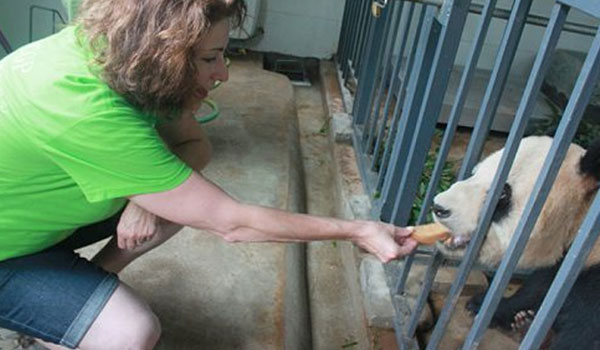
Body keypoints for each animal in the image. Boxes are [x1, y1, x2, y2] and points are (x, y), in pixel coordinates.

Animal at [432, 136, 600, 350]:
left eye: (503, 193)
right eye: (475, 172)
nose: (439, 207)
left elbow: (582, 335)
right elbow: (539, 285)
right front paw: (481, 305)